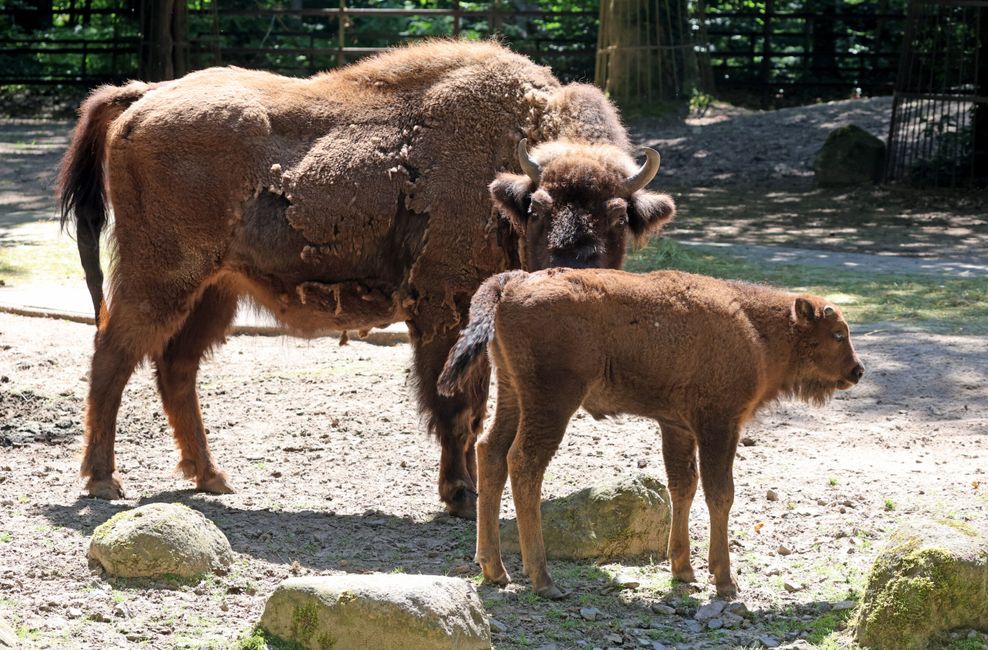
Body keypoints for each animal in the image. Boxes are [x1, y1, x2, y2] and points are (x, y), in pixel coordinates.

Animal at [58, 40, 676, 516]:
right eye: (539, 207)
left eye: (619, 214)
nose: (575, 267)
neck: (504, 183)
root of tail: (144, 97)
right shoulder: (445, 311)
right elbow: (457, 407)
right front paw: (460, 495)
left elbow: (474, 410)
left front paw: (469, 491)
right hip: (160, 276)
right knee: (113, 354)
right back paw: (103, 481)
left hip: (216, 290)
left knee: (175, 366)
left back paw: (211, 477)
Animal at [440, 268, 864, 596]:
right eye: (837, 334)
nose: (858, 371)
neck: (756, 327)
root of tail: (512, 283)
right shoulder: (719, 424)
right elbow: (720, 494)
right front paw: (725, 580)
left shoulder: (676, 426)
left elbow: (683, 486)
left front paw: (684, 570)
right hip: (552, 402)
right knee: (525, 463)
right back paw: (544, 580)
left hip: (512, 392)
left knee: (490, 452)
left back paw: (495, 570)